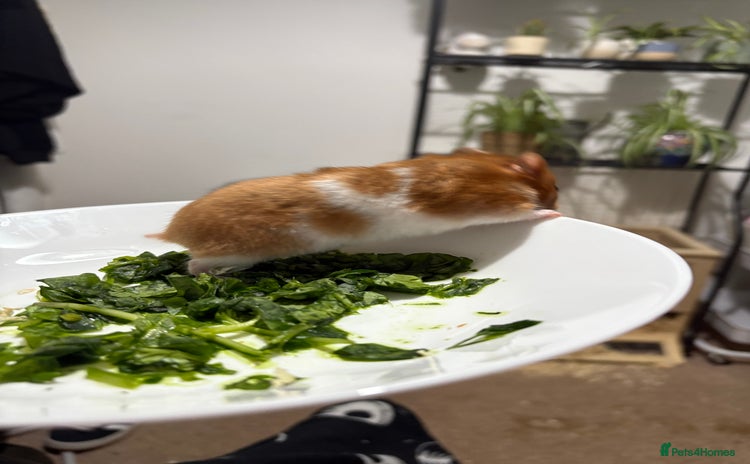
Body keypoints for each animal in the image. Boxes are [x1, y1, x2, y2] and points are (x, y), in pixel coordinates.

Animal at [150, 148, 560, 275]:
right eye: (556, 187)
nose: (558, 202)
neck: (495, 165)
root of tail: (172, 231)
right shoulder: (496, 202)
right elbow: (523, 212)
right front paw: (550, 215)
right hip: (238, 252)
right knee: (193, 265)